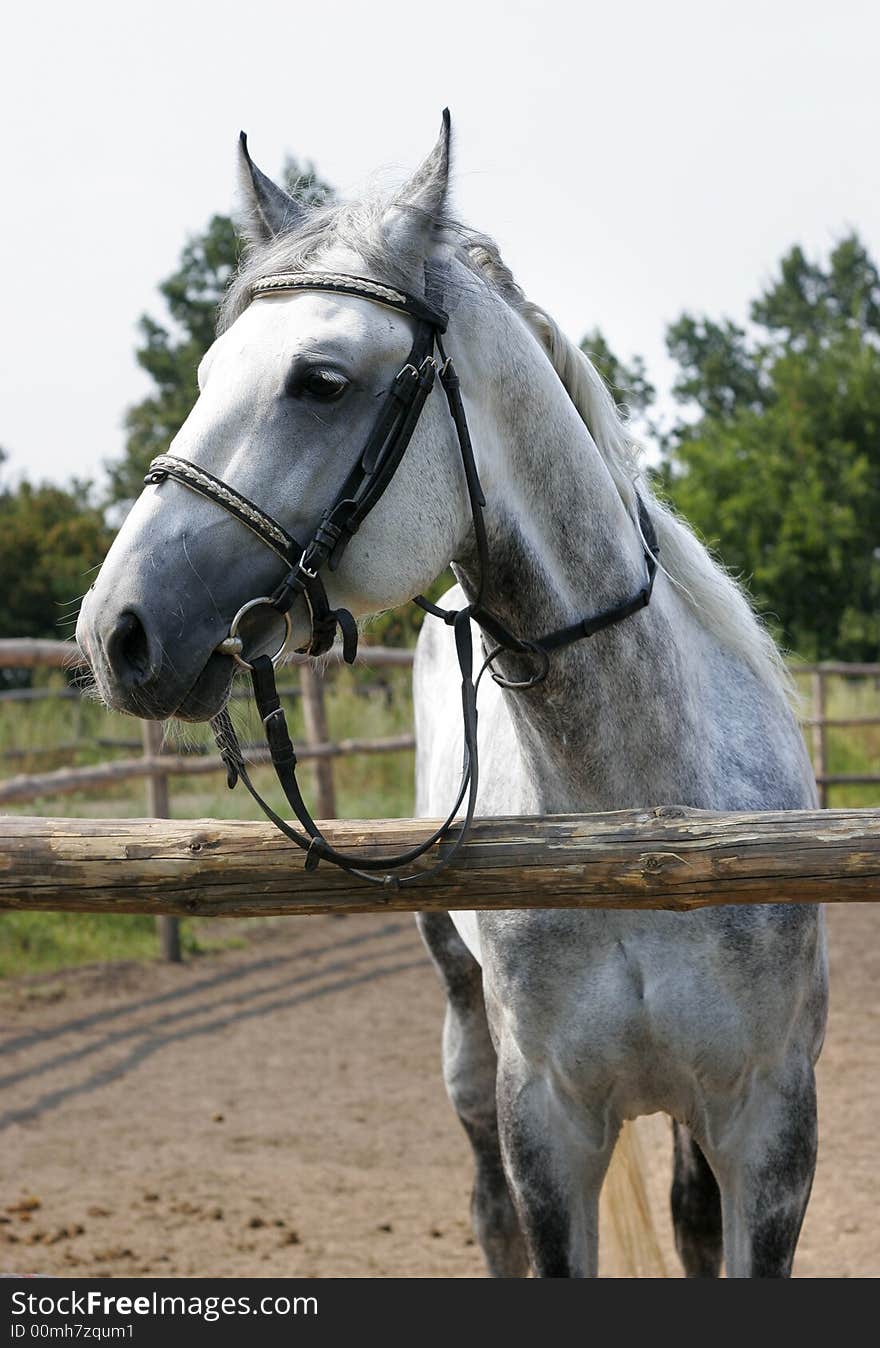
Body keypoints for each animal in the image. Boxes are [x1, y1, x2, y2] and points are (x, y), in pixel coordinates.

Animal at [75, 113, 824, 1272]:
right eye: (207, 368)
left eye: (321, 379)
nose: (116, 630)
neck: (638, 820)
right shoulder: (546, 1126)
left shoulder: (770, 1132)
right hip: (466, 1032)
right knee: (486, 1204)